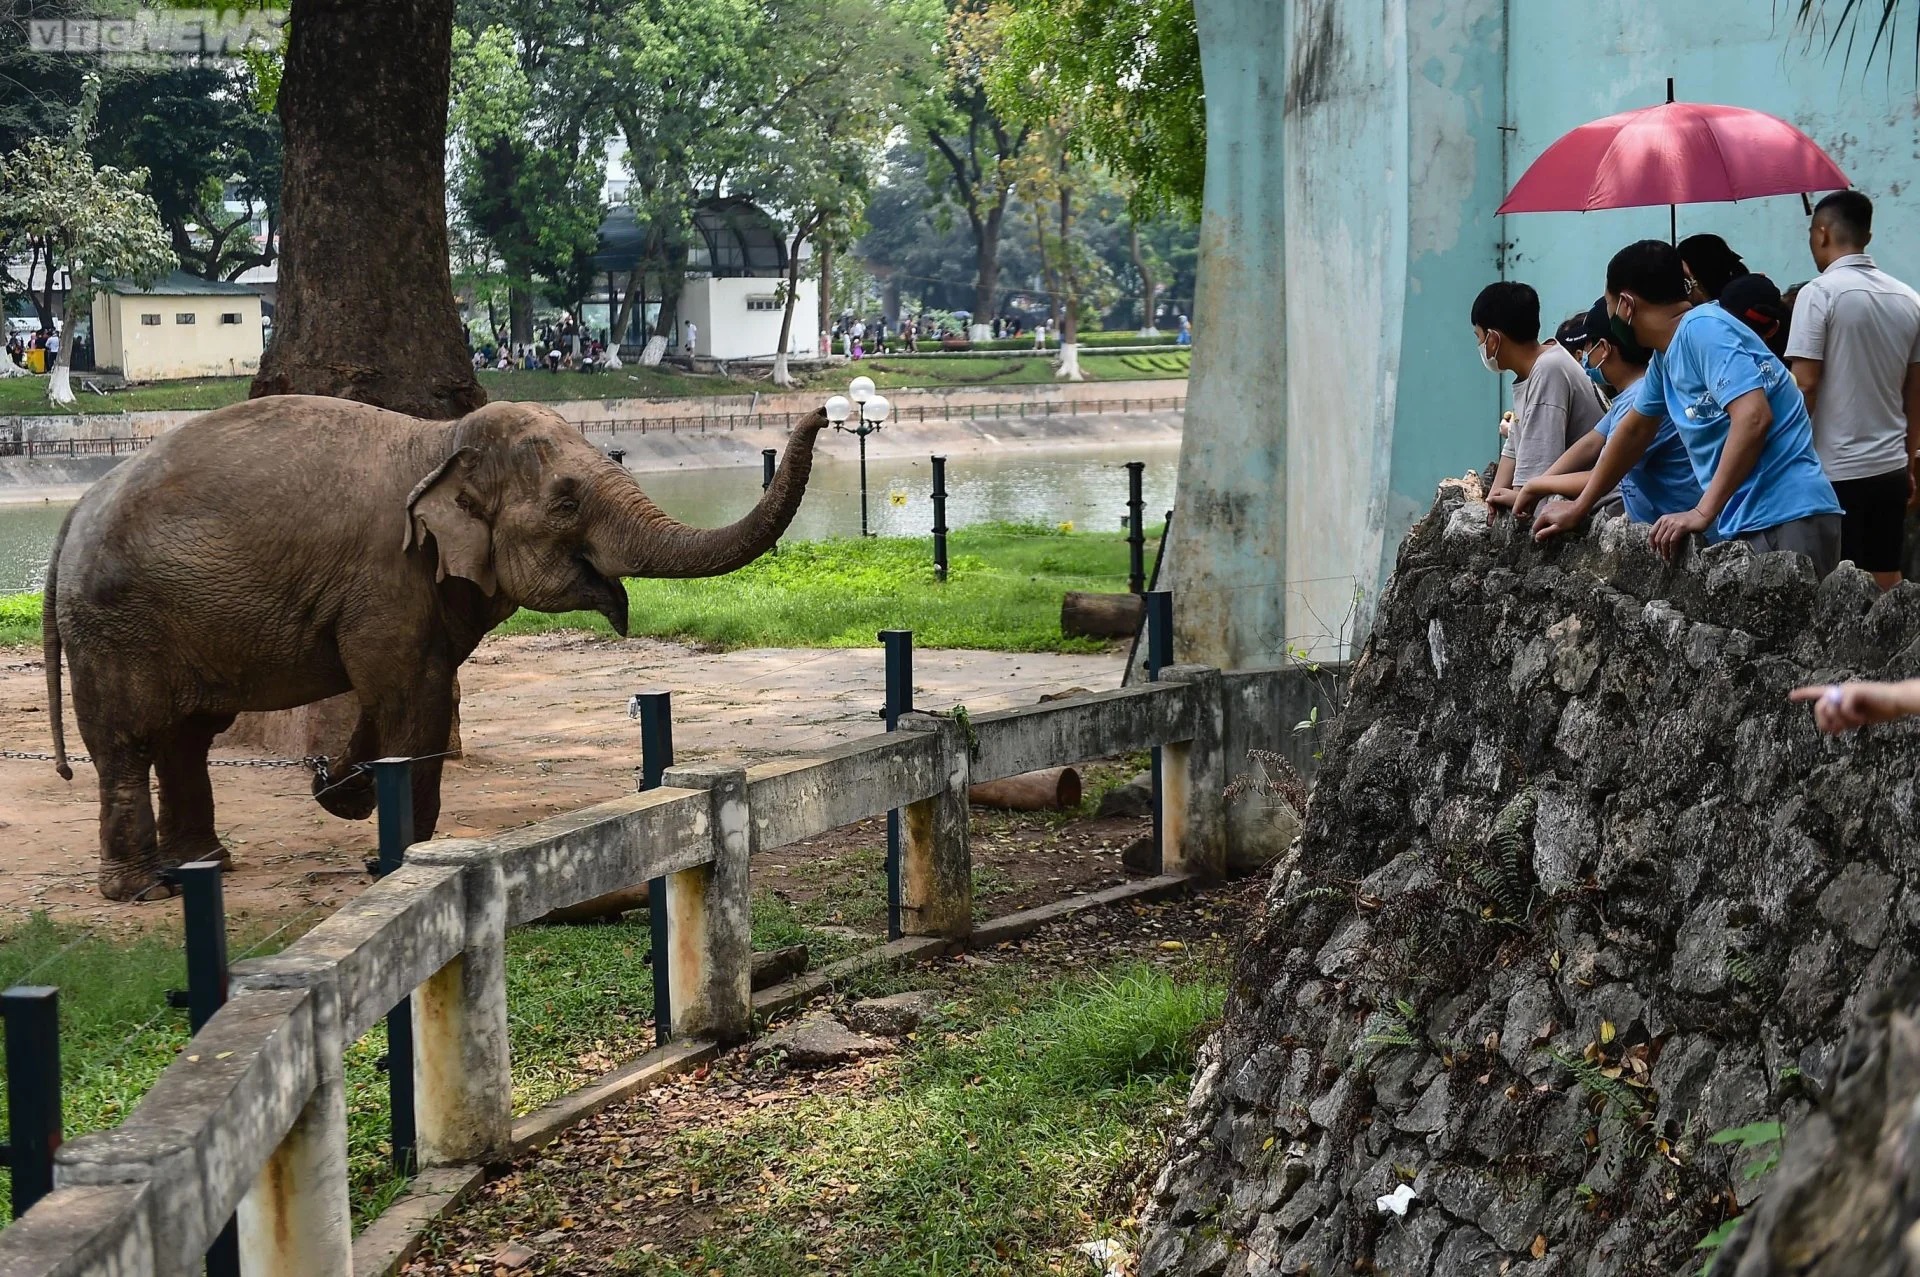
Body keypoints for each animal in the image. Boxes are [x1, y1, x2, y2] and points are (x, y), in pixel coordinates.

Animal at [45, 393, 825, 902]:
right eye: (566, 501)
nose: (823, 413)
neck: (439, 441)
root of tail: (75, 510)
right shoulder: (386, 576)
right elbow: (406, 699)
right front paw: (395, 861)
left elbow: (410, 690)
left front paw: (346, 796)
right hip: (115, 626)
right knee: (130, 740)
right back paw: (142, 891)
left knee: (188, 737)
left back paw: (205, 868)